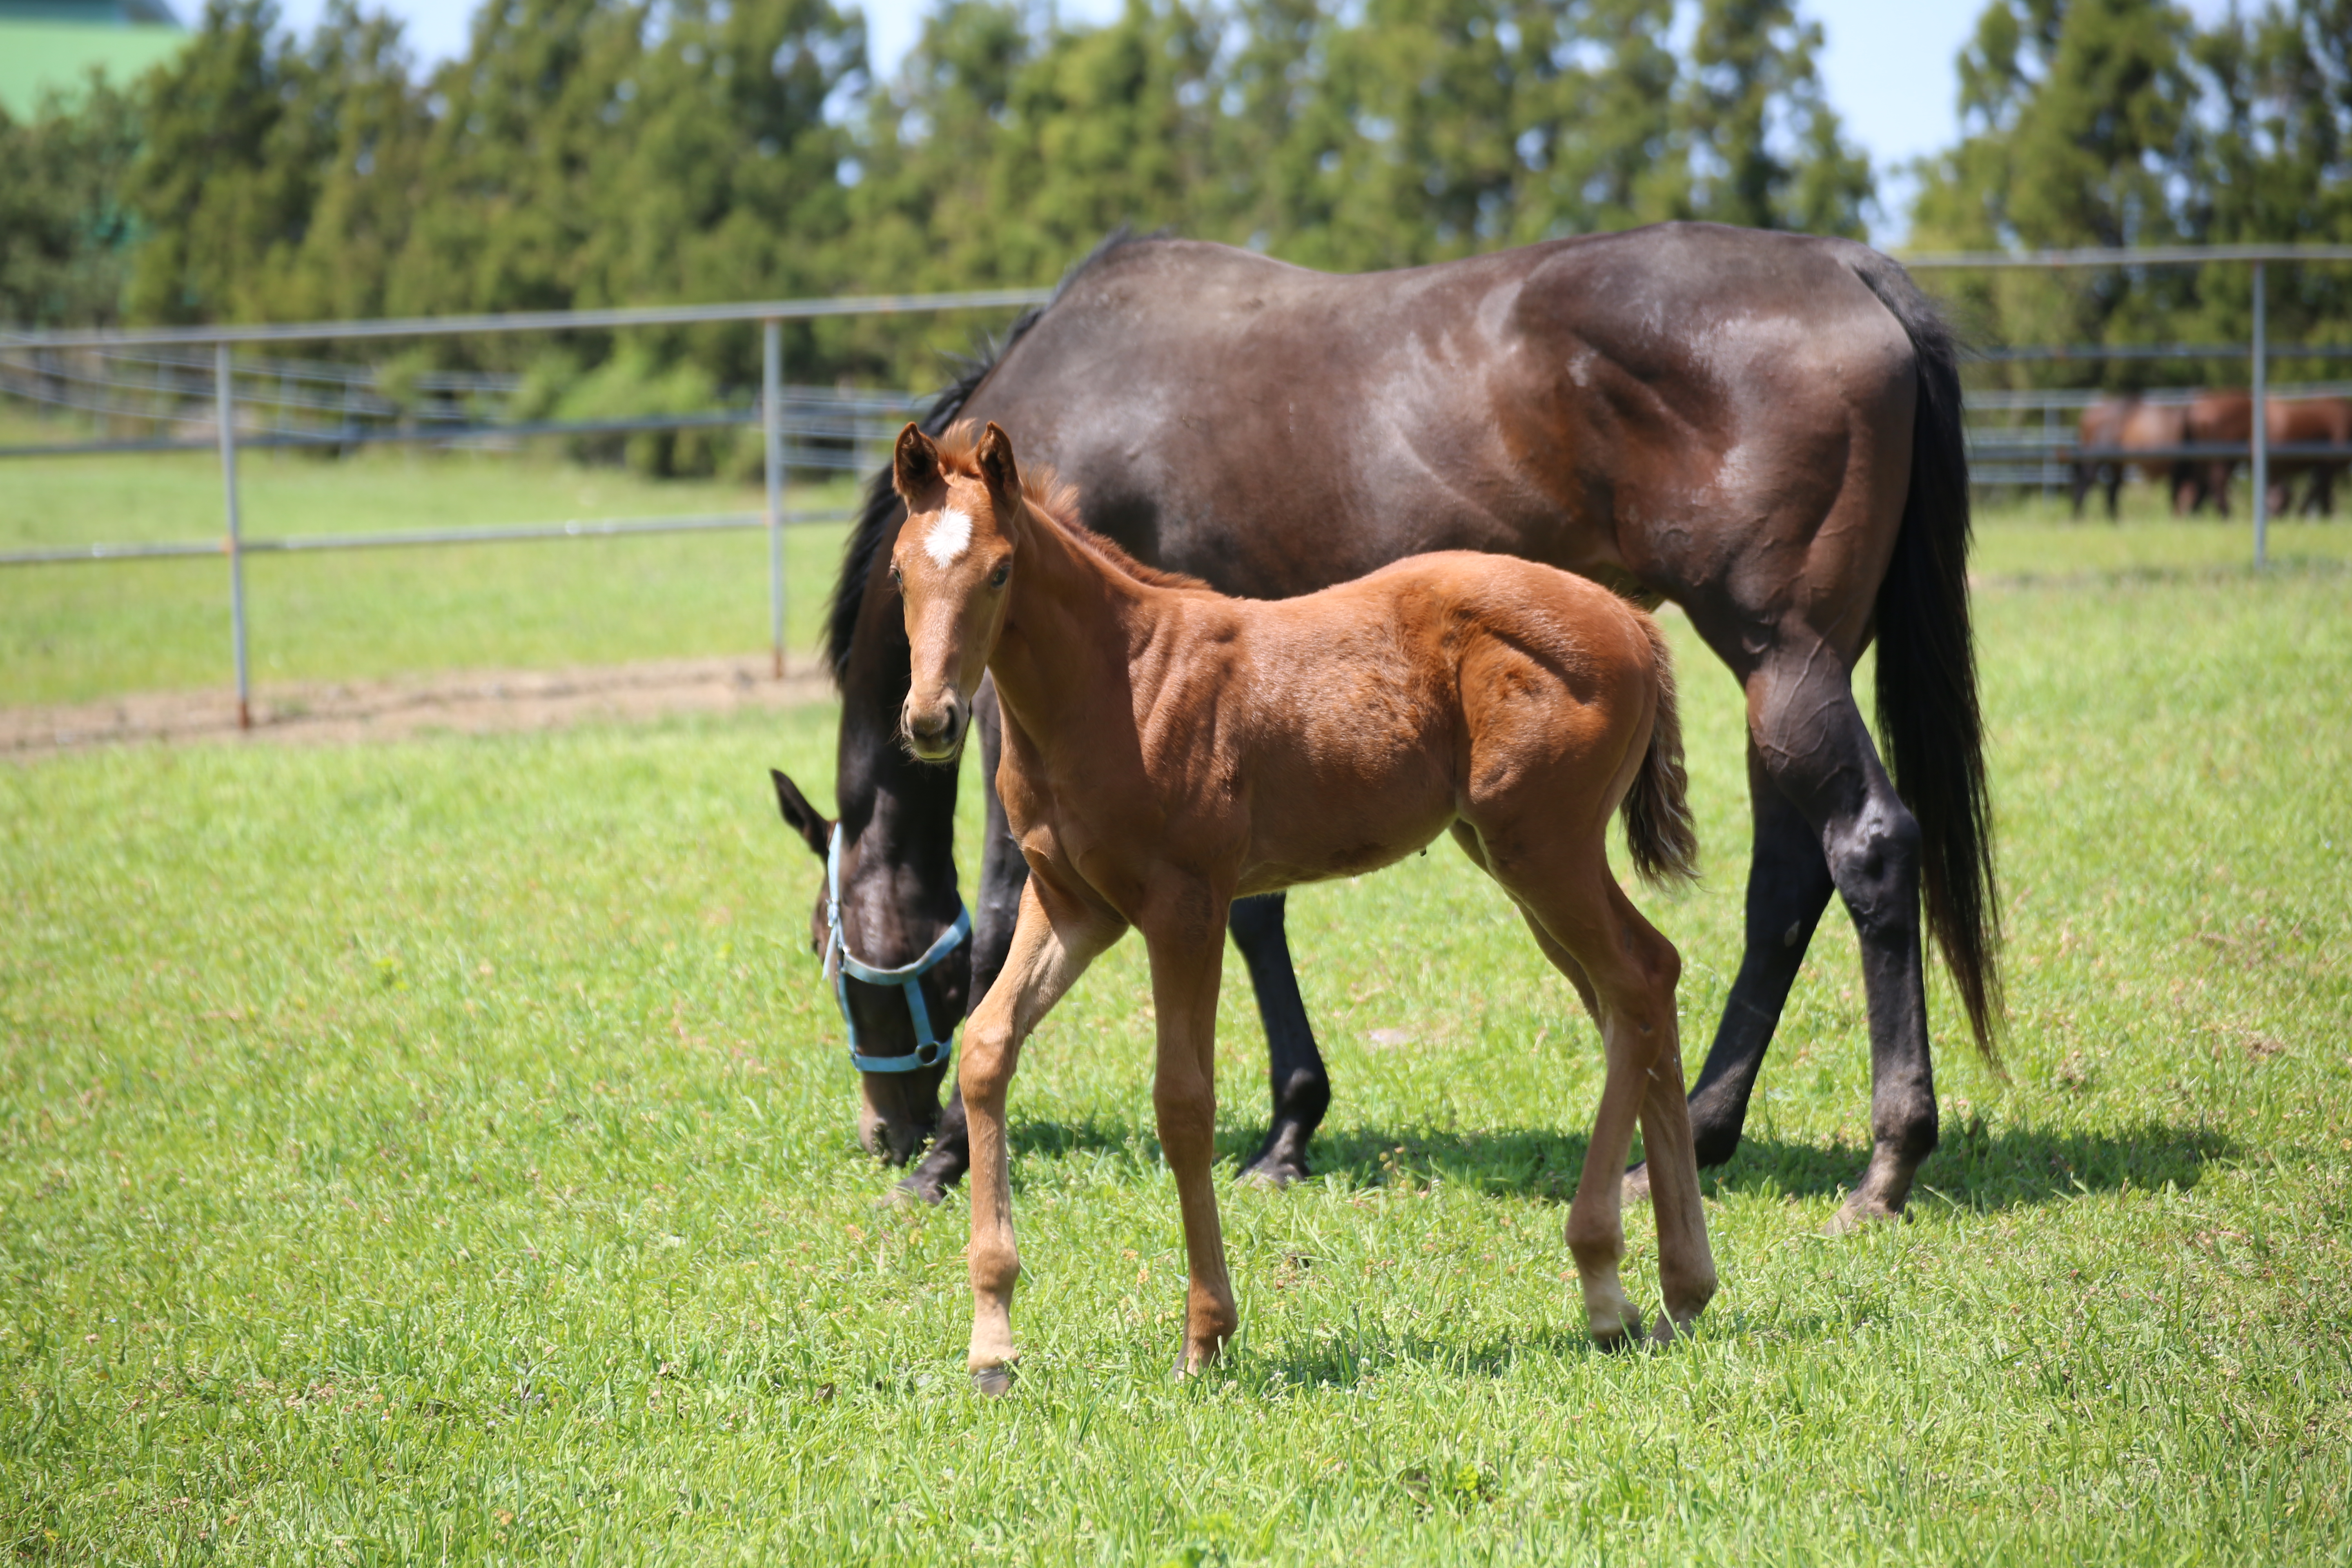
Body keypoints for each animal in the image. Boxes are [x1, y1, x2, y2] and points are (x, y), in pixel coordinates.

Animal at [776, 221, 2004, 1232]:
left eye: (831, 950)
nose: (882, 1127)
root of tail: (1849, 268)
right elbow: (1255, 913)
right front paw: (1289, 1128)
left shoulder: (1022, 709)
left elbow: (995, 919)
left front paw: (944, 1159)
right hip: (1784, 674)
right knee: (1785, 883)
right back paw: (1700, 1134)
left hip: (1782, 656)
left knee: (1868, 848)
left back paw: (1884, 1165)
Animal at [884, 423, 1712, 1392]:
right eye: (899, 573)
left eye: (1001, 571)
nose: (932, 721)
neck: (1118, 680)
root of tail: (1634, 621)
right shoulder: (1073, 908)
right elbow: (986, 1049)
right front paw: (992, 1342)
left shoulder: (1186, 906)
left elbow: (1183, 1103)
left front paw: (1205, 1336)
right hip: (1516, 856)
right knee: (1638, 994)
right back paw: (1678, 1290)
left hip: (1545, 848)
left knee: (1638, 980)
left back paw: (1608, 1285)